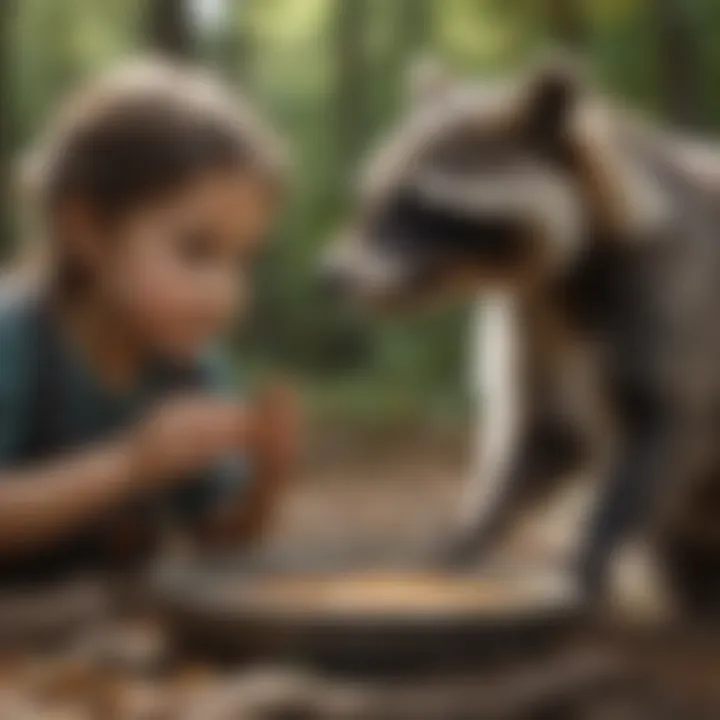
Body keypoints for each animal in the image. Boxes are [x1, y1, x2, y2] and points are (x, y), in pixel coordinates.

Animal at [324, 57, 720, 612]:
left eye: (418, 207)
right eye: (371, 199)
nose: (331, 277)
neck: (560, 280)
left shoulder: (673, 294)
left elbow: (662, 428)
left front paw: (591, 549)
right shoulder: (534, 321)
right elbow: (542, 437)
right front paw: (472, 532)